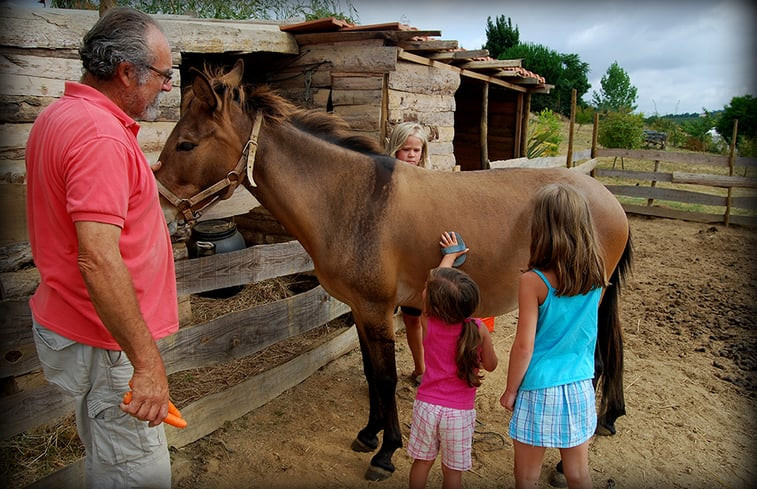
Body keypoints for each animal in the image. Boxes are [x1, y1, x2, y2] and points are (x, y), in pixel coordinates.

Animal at [155, 61, 632, 480]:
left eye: (186, 144)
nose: (161, 207)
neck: (355, 199)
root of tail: (604, 195)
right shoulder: (361, 311)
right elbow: (370, 373)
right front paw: (369, 434)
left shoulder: (376, 309)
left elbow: (384, 379)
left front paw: (386, 453)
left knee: (596, 362)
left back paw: (565, 462)